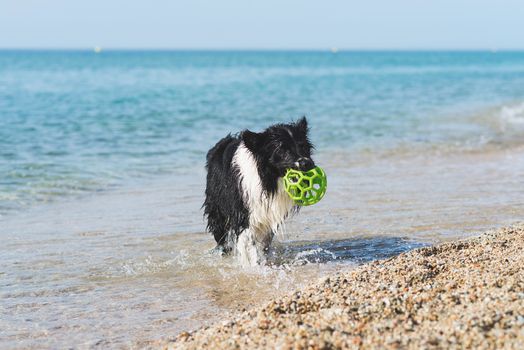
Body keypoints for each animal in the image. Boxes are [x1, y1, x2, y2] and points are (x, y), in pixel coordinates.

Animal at [204, 116, 316, 264]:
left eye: (302, 146)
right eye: (282, 149)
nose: (306, 163)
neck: (268, 180)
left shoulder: (268, 215)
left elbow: (263, 244)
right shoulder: (243, 214)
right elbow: (249, 244)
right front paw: (253, 266)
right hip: (217, 209)